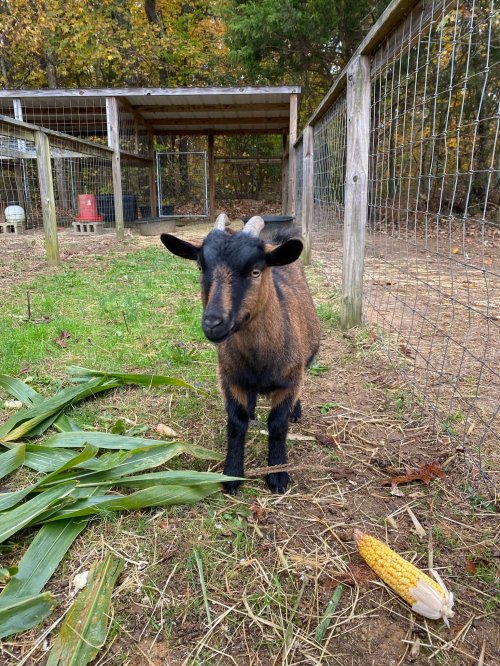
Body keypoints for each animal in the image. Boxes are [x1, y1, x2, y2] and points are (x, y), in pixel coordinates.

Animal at [161, 214, 320, 494]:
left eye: (256, 271)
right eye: (200, 267)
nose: (213, 323)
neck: (260, 360)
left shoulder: (289, 380)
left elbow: (278, 425)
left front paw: (278, 475)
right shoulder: (230, 378)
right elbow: (236, 423)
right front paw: (232, 475)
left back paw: (296, 411)